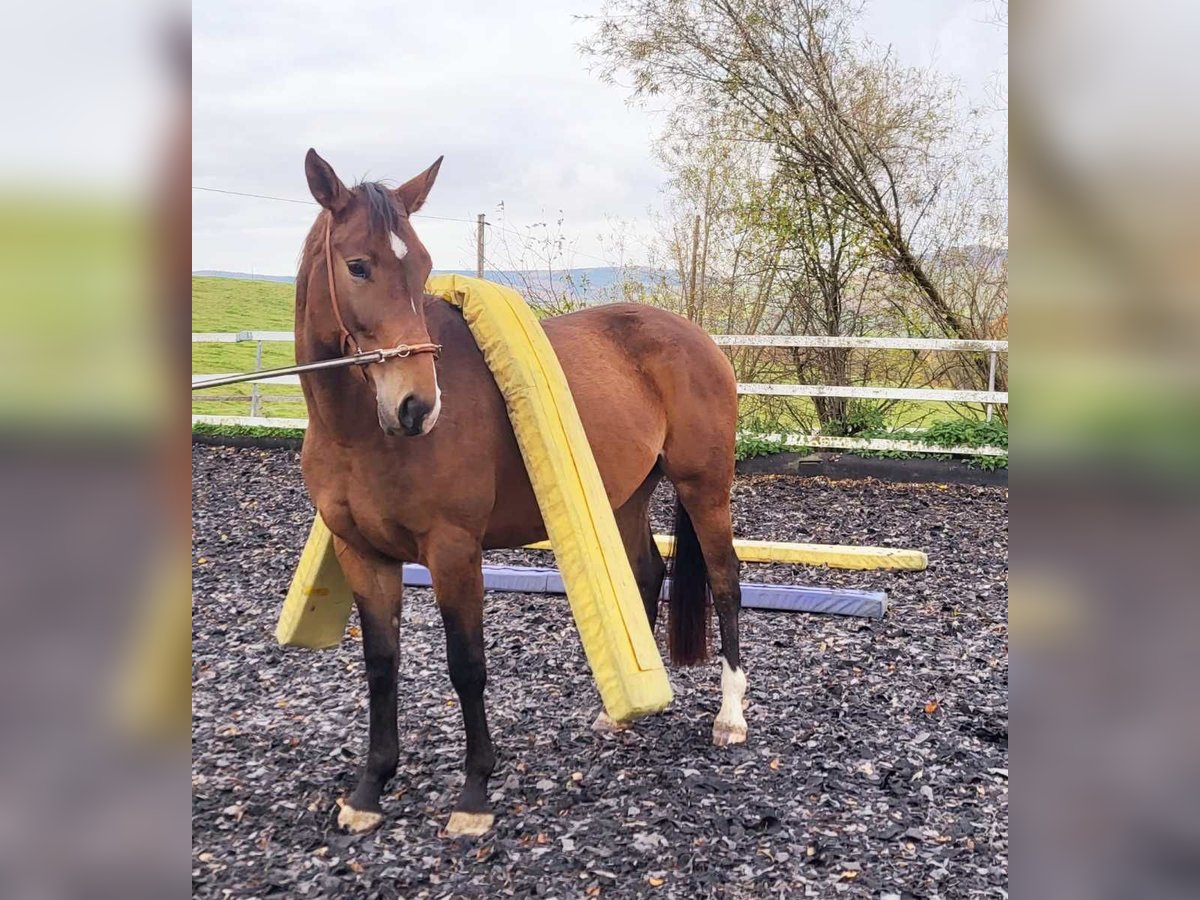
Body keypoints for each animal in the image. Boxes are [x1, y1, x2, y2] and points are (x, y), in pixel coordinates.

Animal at [297, 150, 748, 840]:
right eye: (357, 265)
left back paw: (730, 718)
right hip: (624, 497)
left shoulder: (454, 552)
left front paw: (474, 795)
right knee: (646, 572)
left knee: (725, 581)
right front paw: (370, 791)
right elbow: (380, 666)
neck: (357, 433)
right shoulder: (362, 554)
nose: (417, 406)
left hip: (705, 488)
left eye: (422, 265)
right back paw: (615, 714)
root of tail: (697, 337)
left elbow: (466, 666)